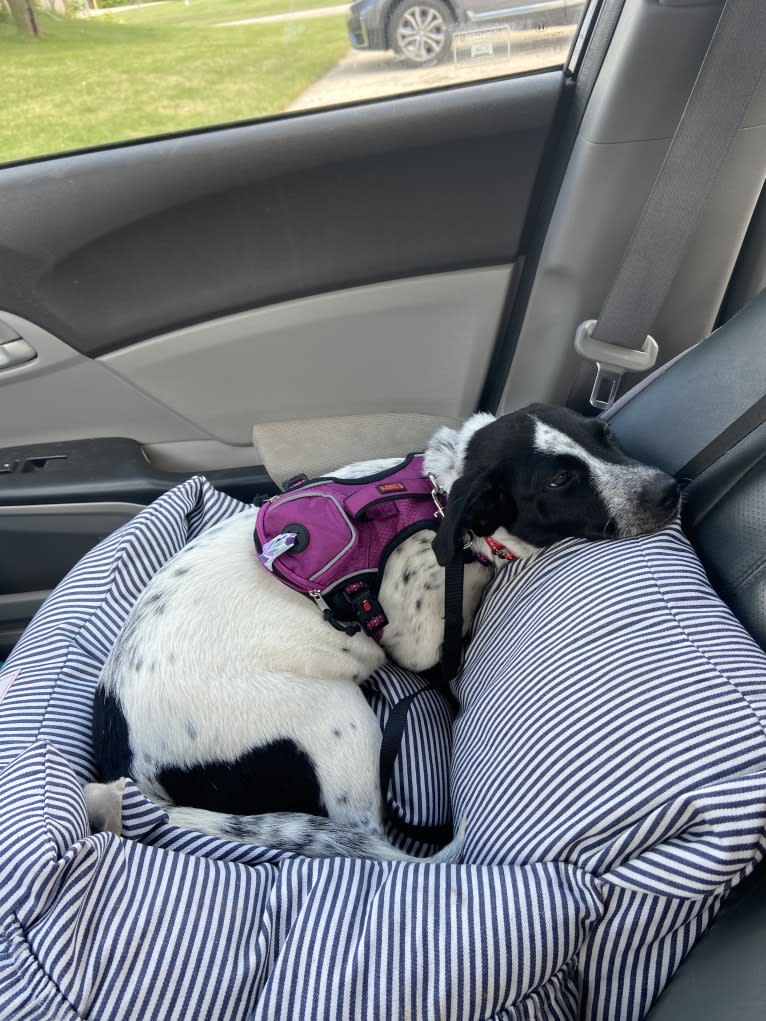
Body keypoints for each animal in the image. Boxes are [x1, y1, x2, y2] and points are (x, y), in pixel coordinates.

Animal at [86, 404, 680, 861]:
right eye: (559, 480)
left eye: (606, 436)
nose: (669, 489)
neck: (440, 494)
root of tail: (132, 769)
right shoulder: (418, 643)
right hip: (338, 722)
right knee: (369, 835)